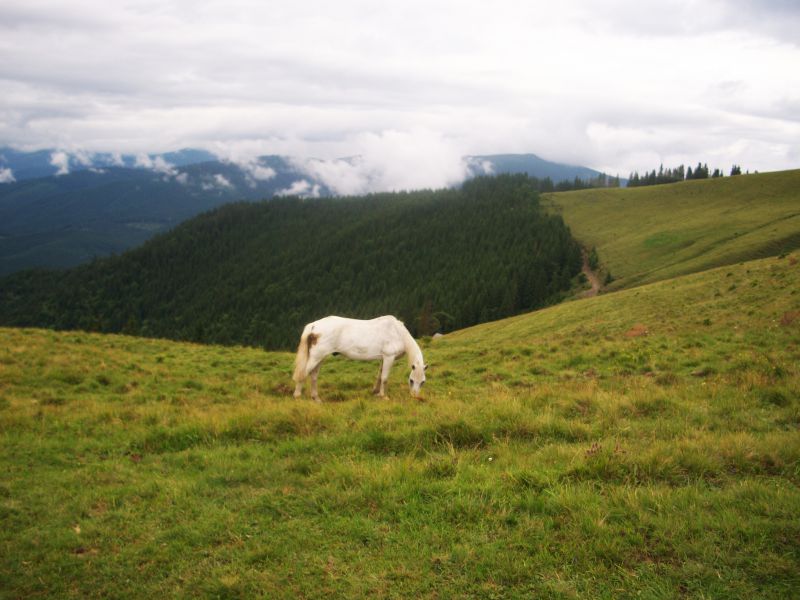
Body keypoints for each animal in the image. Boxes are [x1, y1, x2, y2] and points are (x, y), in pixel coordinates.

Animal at [292, 314, 428, 404]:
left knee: (314, 376)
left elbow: (379, 376)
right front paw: (383, 396)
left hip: (320, 358)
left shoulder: (383, 358)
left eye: (423, 382)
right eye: (411, 380)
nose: (415, 397)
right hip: (317, 357)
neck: (398, 333)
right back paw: (297, 396)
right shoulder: (389, 357)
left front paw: (375, 392)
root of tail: (314, 326)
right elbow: (384, 378)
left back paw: (316, 398)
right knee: (304, 373)